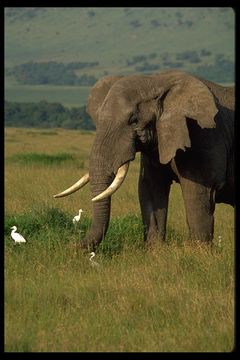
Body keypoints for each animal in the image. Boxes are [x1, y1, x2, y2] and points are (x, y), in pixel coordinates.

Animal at [54, 70, 234, 250]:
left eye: (133, 121)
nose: (72, 245)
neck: (155, 81)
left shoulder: (203, 135)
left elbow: (198, 192)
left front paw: (200, 253)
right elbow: (150, 188)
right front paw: (156, 251)